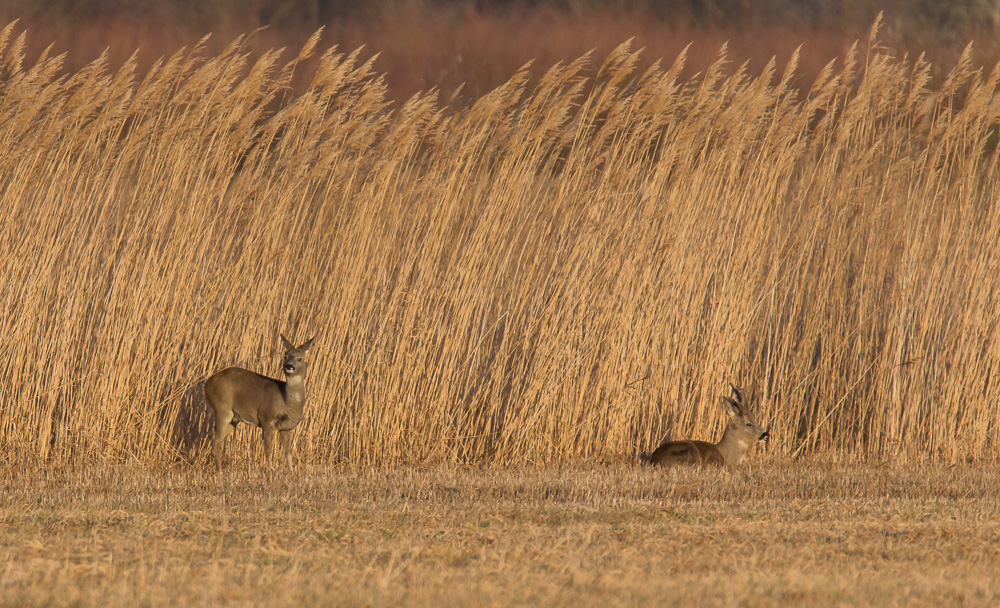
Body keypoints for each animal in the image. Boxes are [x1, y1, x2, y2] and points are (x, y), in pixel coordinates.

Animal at [203, 332, 312, 470]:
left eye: (299, 358)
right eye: (285, 356)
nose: (289, 366)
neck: (287, 404)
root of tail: (207, 384)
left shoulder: (287, 427)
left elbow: (288, 452)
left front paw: (291, 471)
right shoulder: (267, 419)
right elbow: (268, 450)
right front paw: (269, 471)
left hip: (234, 419)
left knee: (216, 442)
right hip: (222, 408)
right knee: (215, 444)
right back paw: (220, 472)